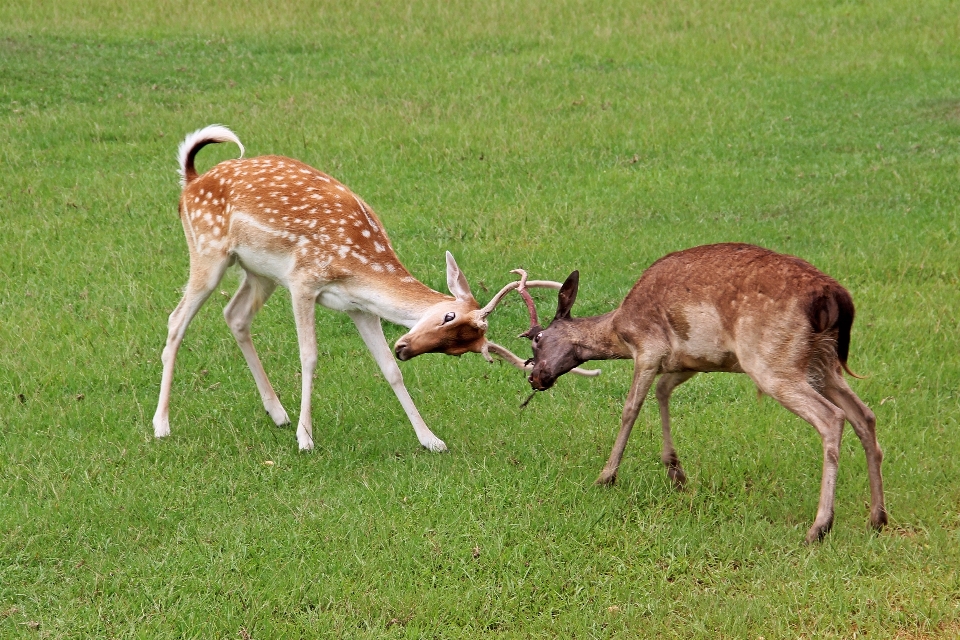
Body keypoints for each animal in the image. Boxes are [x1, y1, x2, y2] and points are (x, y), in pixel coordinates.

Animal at [153, 125, 584, 452]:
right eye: (447, 315)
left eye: (459, 351)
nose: (406, 346)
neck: (359, 265)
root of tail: (191, 180)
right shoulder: (303, 281)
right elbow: (309, 356)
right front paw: (306, 440)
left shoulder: (358, 307)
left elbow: (389, 370)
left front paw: (431, 440)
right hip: (208, 251)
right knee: (176, 320)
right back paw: (162, 426)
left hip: (259, 272)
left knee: (235, 315)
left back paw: (277, 413)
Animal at [520, 242, 888, 544]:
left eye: (537, 339)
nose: (535, 378)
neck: (619, 330)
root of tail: (836, 298)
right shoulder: (689, 361)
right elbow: (662, 392)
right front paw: (675, 472)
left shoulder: (649, 347)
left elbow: (630, 408)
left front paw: (606, 477)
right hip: (823, 363)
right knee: (865, 415)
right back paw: (877, 517)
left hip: (772, 360)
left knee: (832, 417)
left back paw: (820, 527)